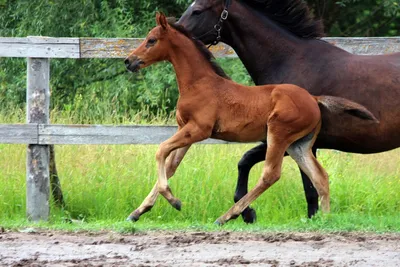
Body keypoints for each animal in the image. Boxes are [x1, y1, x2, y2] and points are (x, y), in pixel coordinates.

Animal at [124, 12, 378, 226]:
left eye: (151, 40)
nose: (129, 61)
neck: (198, 83)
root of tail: (314, 99)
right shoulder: (185, 130)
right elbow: (171, 165)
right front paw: (137, 212)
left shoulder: (198, 130)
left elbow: (160, 151)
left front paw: (174, 201)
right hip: (299, 144)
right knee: (320, 177)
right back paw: (324, 220)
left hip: (278, 133)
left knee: (271, 174)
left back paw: (228, 216)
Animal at [177, 0, 400, 222]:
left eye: (197, 11)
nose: (176, 30)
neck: (289, 61)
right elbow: (245, 161)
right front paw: (247, 213)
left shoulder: (292, 141)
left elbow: (309, 189)